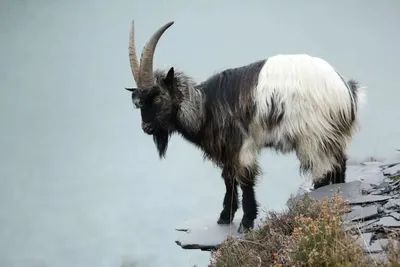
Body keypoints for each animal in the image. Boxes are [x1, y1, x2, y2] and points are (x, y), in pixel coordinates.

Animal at [124, 21, 366, 233]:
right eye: (138, 102)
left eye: (157, 97)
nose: (146, 127)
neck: (205, 106)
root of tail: (345, 91)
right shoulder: (227, 150)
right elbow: (228, 179)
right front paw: (225, 217)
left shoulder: (241, 146)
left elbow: (245, 180)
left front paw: (246, 222)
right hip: (331, 136)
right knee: (339, 164)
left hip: (314, 136)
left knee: (324, 170)